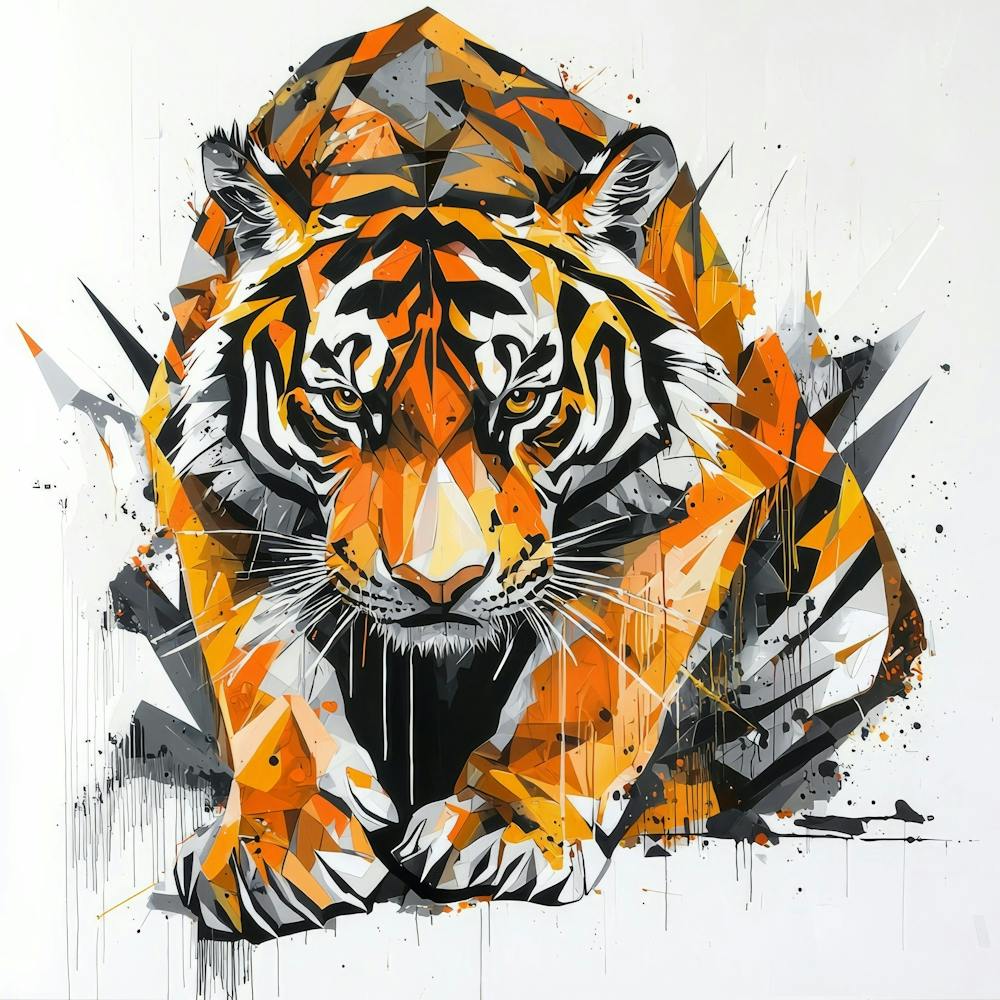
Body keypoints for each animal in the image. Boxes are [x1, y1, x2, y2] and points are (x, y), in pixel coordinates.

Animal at [124, 8, 925, 940]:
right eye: (344, 401)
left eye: (524, 400)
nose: (440, 588)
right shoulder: (204, 479)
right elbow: (262, 675)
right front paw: (273, 844)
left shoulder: (709, 482)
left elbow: (592, 673)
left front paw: (504, 825)